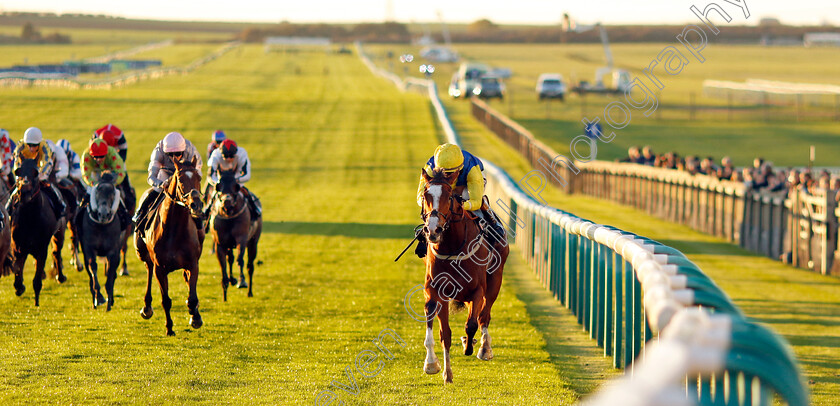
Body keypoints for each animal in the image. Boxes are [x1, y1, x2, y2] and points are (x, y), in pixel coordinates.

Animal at [9, 159, 67, 304]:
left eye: (35, 172)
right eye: (18, 171)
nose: (24, 191)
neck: (30, 218)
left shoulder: (41, 247)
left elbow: (37, 280)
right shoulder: (17, 246)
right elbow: (18, 267)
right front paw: (20, 286)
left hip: (60, 233)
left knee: (56, 251)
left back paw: (60, 276)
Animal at [79, 172, 130, 310]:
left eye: (112, 193)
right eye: (97, 192)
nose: (103, 214)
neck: (101, 226)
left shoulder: (113, 250)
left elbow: (111, 273)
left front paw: (109, 301)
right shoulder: (89, 248)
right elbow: (92, 267)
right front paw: (98, 298)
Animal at [136, 159, 207, 336]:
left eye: (199, 178)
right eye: (180, 180)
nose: (196, 205)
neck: (174, 230)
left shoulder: (193, 264)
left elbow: (192, 298)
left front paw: (195, 317)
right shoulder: (160, 269)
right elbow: (166, 300)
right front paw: (169, 328)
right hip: (145, 256)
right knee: (148, 270)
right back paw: (147, 308)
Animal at [208, 170, 260, 300]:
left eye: (236, 186)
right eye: (218, 186)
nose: (227, 203)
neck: (228, 216)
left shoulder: (241, 239)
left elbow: (239, 259)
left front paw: (242, 281)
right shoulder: (220, 243)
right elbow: (223, 264)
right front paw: (225, 287)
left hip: (253, 242)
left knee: (250, 265)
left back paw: (249, 291)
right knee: (229, 259)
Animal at [418, 167, 508, 384]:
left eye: (449, 195)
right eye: (425, 195)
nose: (433, 230)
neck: (452, 247)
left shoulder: (478, 290)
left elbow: (472, 323)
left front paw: (470, 346)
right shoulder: (434, 291)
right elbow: (444, 333)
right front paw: (436, 367)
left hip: (495, 281)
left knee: (484, 316)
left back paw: (484, 348)